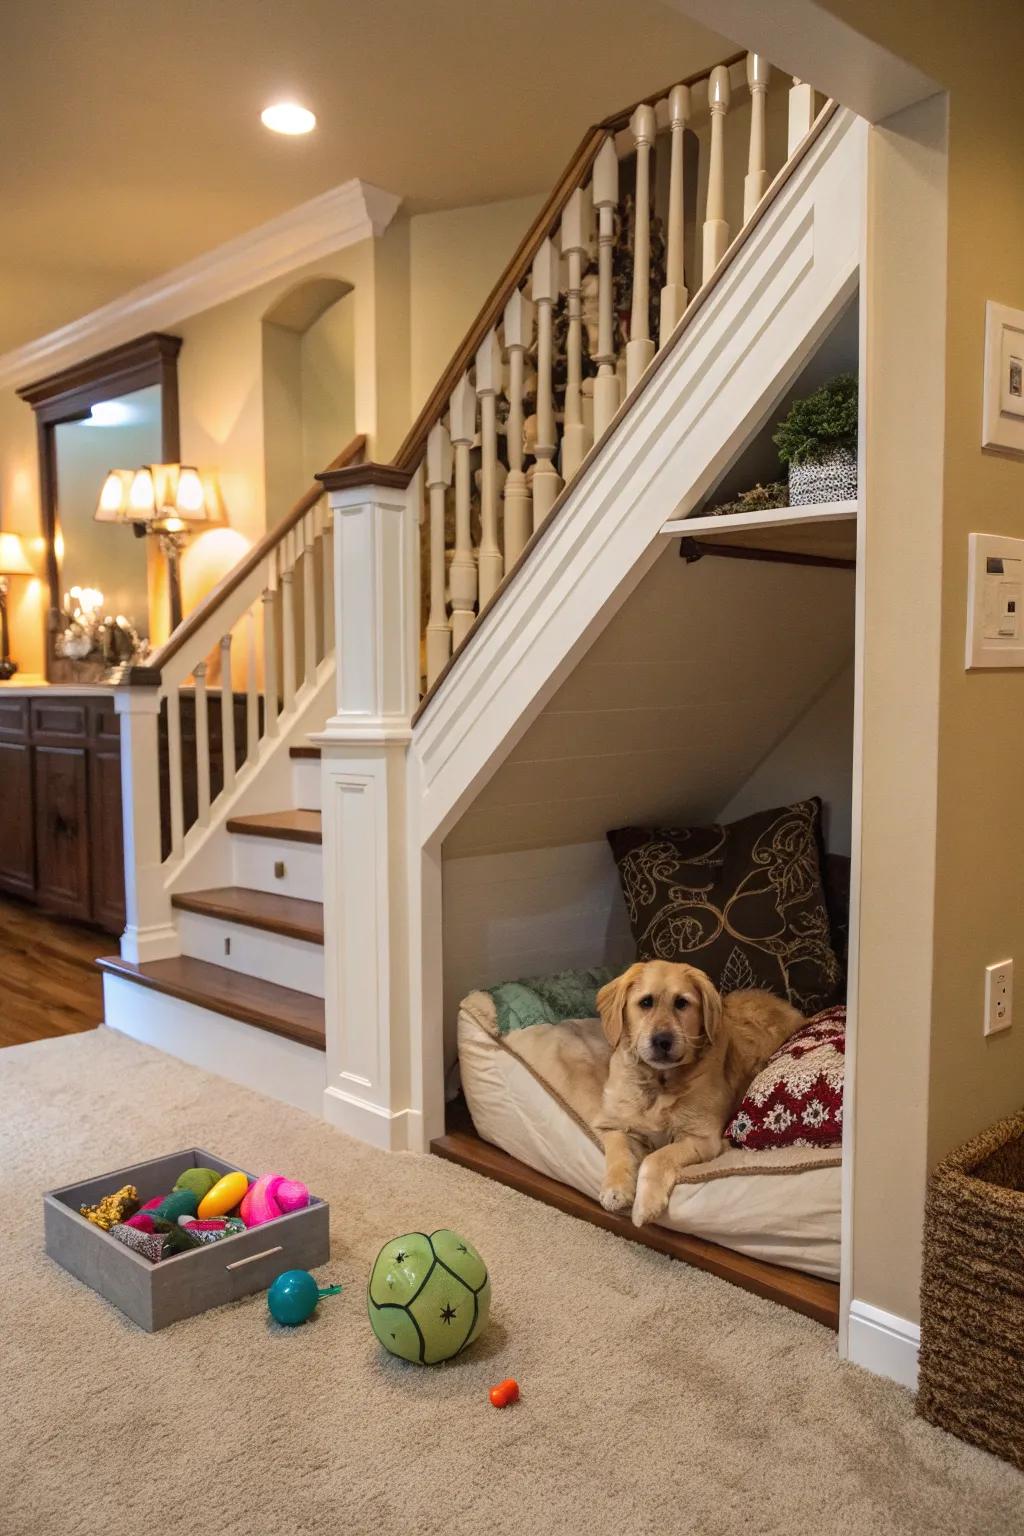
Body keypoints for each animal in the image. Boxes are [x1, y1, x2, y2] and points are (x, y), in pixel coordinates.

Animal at [595, 958, 804, 1222]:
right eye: (645, 1002)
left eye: (681, 1003)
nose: (662, 1041)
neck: (658, 1081)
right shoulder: (610, 1124)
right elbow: (618, 1151)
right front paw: (615, 1190)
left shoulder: (702, 1139)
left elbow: (655, 1158)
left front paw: (645, 1205)